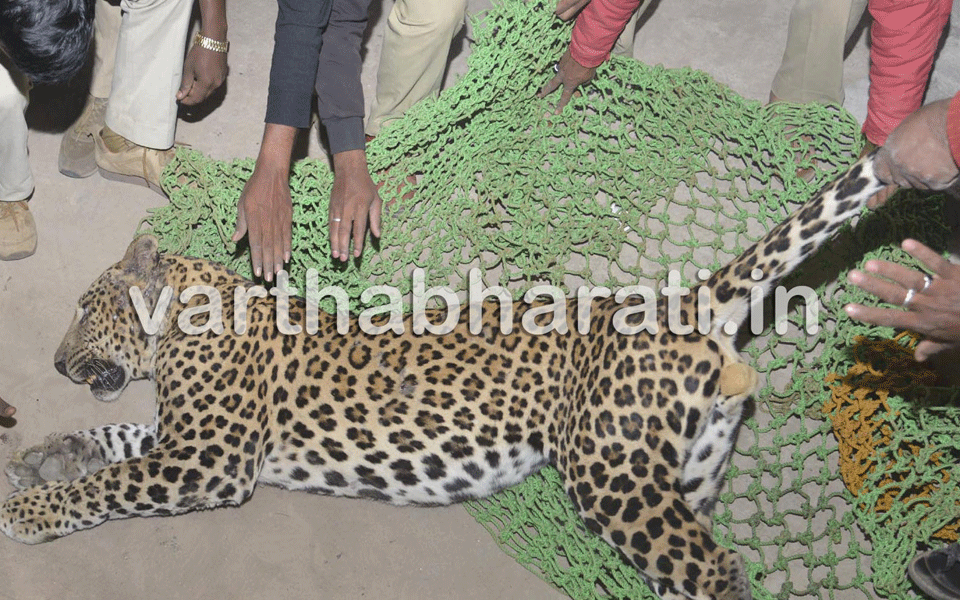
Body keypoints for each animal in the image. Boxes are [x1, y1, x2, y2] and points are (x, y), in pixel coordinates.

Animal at [0, 152, 884, 596]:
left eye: (85, 308)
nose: (53, 361)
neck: (190, 311)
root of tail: (681, 298)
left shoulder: (211, 459)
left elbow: (111, 483)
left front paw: (33, 511)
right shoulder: (186, 439)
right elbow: (118, 436)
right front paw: (41, 456)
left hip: (613, 476)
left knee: (716, 571)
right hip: (687, 473)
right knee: (694, 566)